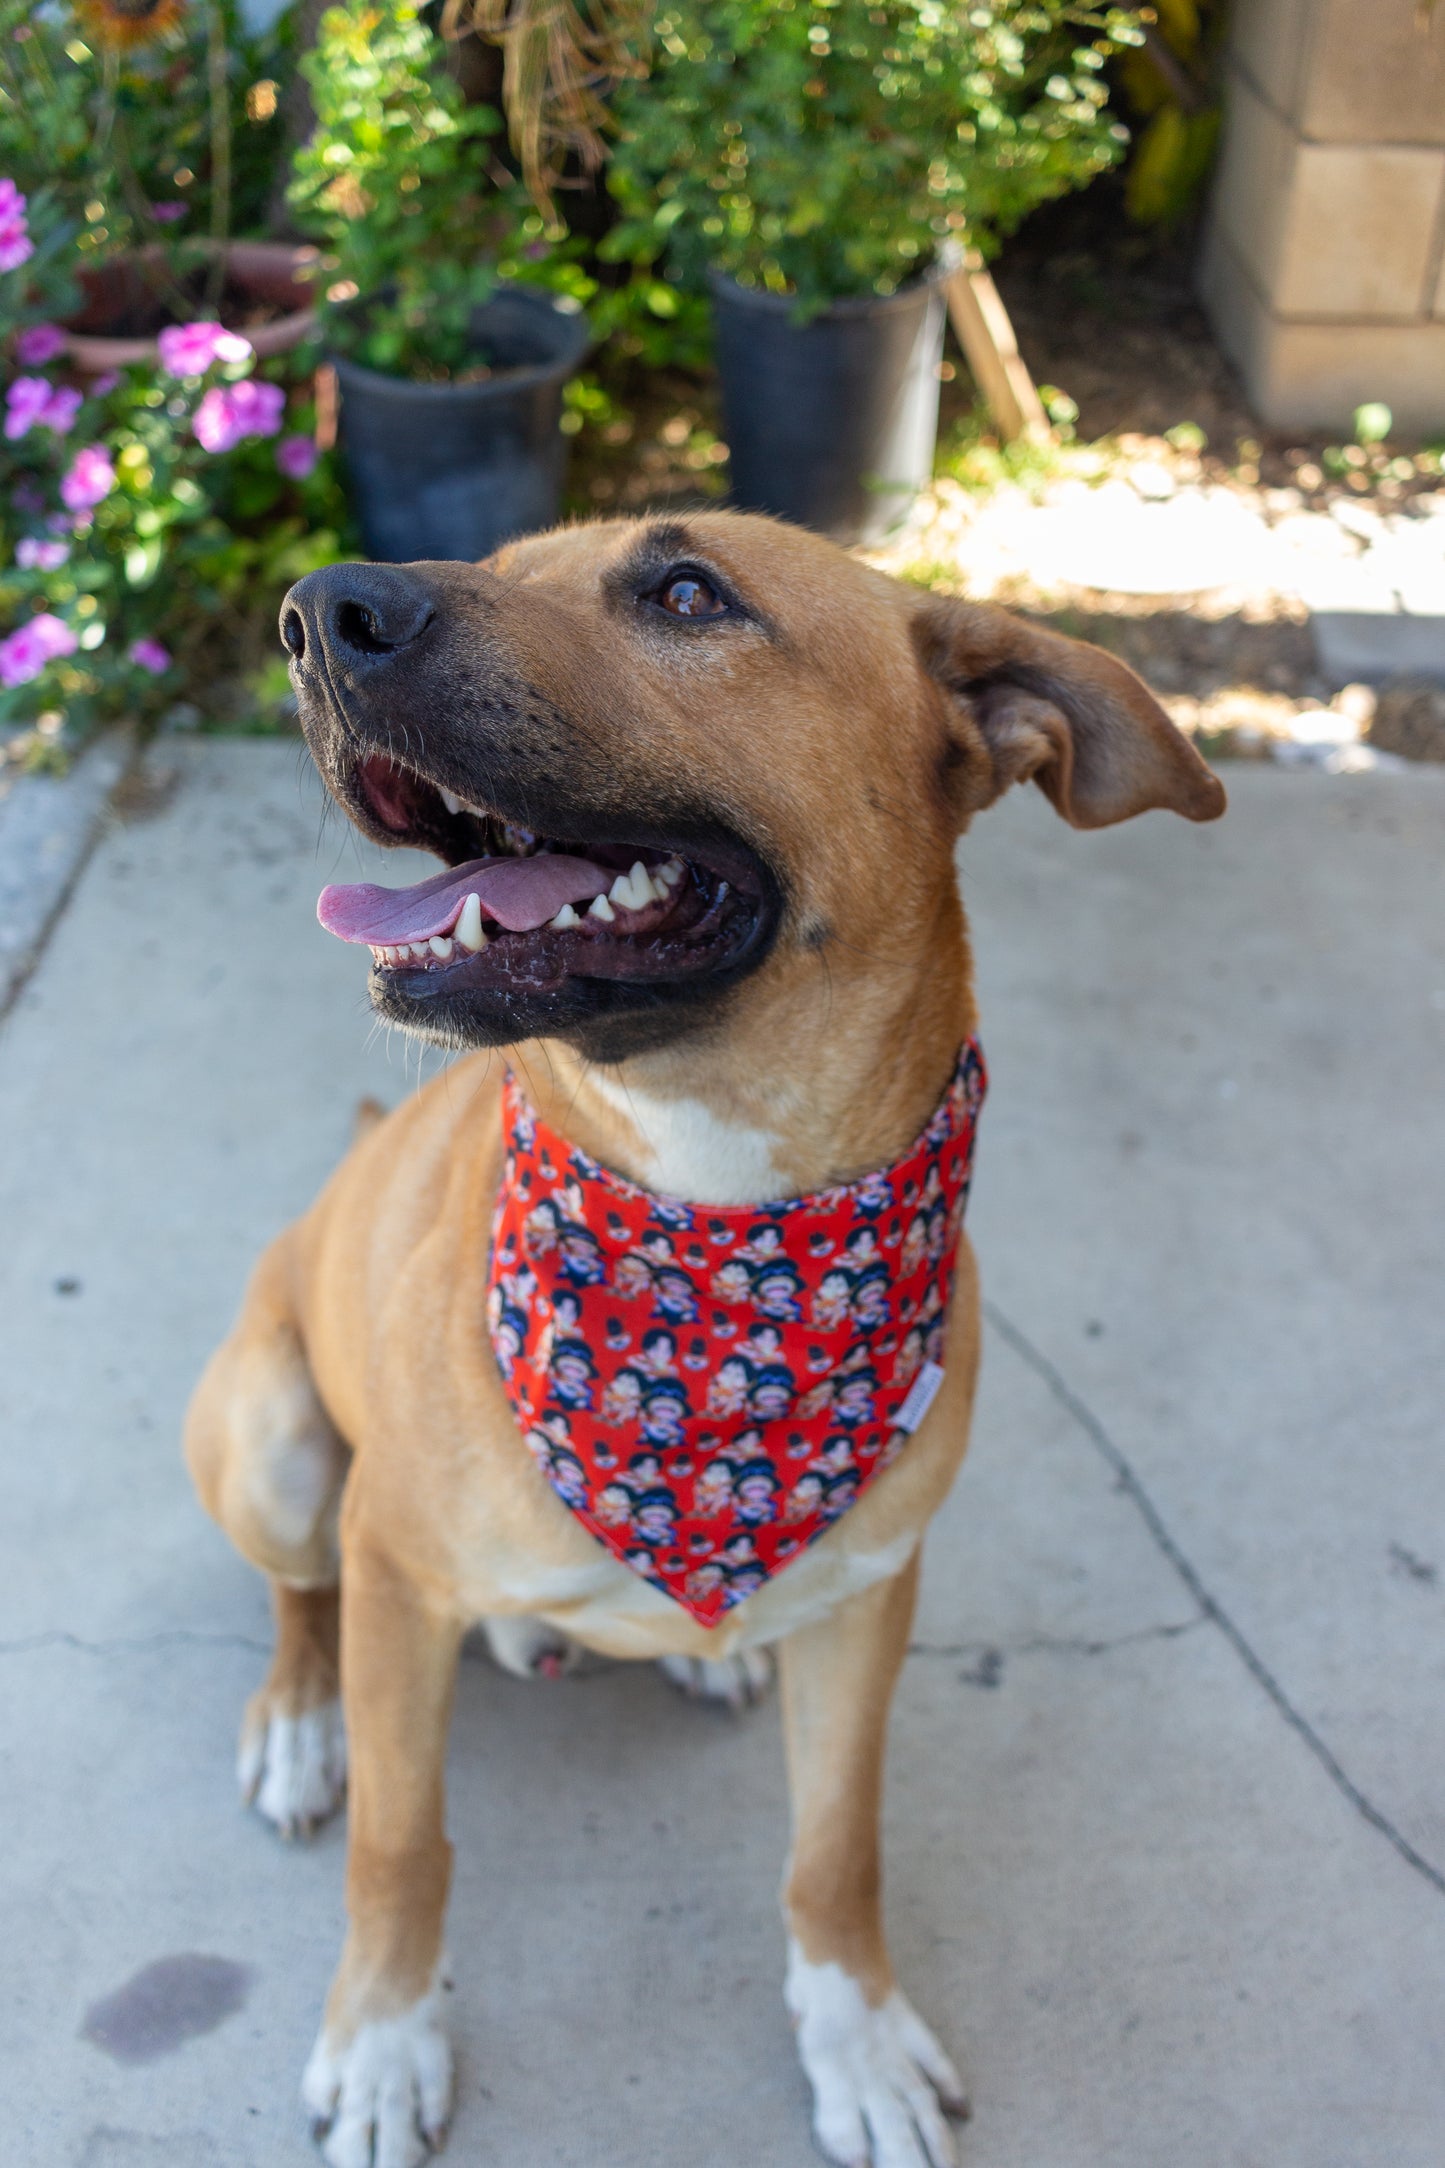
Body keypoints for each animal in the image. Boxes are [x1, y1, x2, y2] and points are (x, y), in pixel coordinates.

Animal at [180, 511, 1221, 2168]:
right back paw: (297, 1723)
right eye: (501, 563)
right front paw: (386, 2041)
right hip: (279, 1448)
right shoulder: (399, 1575)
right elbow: (405, 1844)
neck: (714, 1206)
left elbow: (835, 1850)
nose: (316, 610)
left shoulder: (869, 1600)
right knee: (299, 1594)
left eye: (686, 594)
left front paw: (855, 2040)